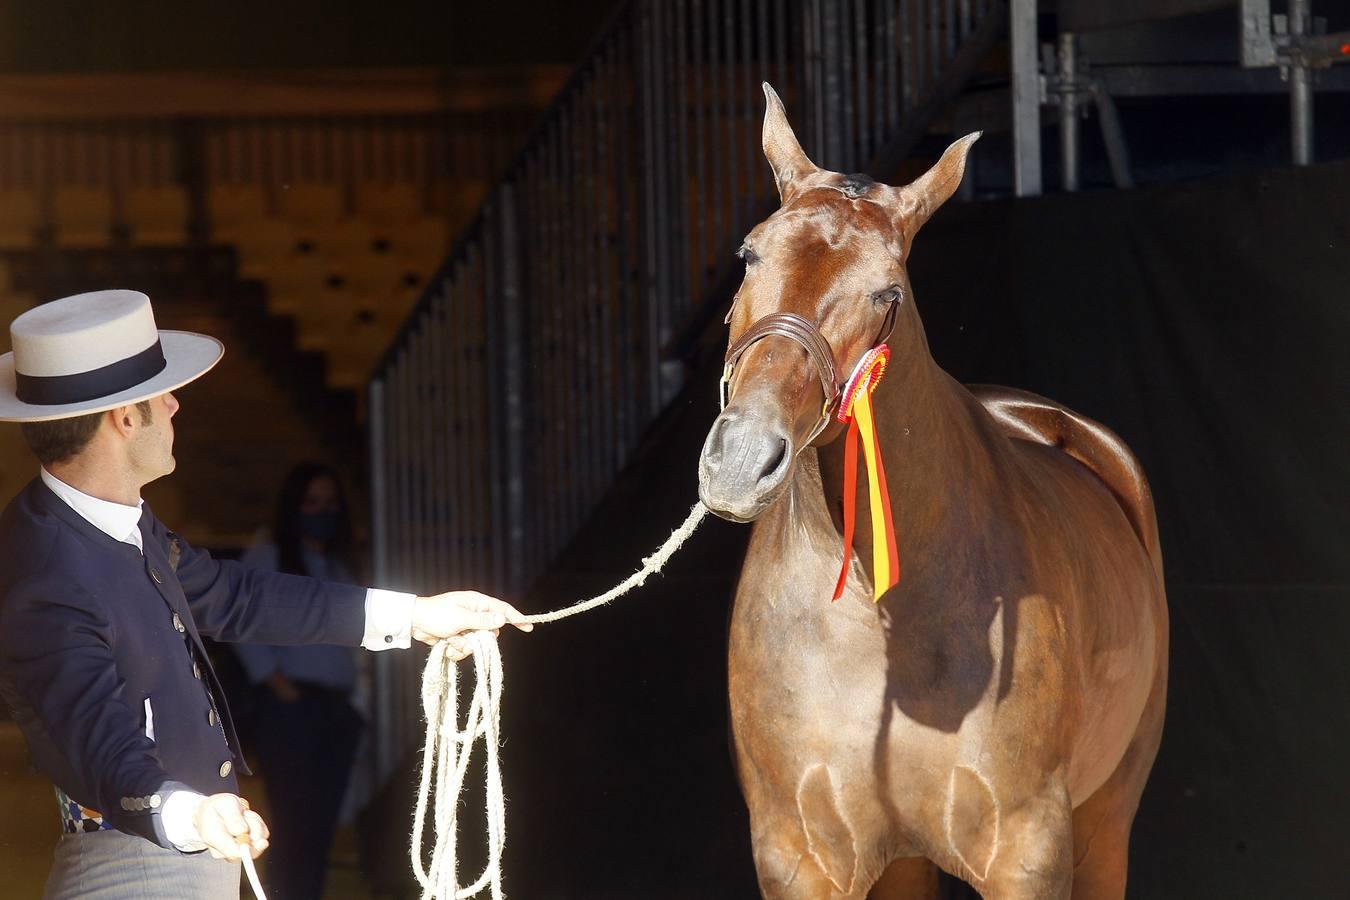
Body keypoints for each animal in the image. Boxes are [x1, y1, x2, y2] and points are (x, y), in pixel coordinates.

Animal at [696, 82, 1171, 895]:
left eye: (887, 291)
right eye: (749, 253)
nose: (742, 460)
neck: (876, 619)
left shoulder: (1027, 854)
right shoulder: (801, 858)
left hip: (1107, 821)